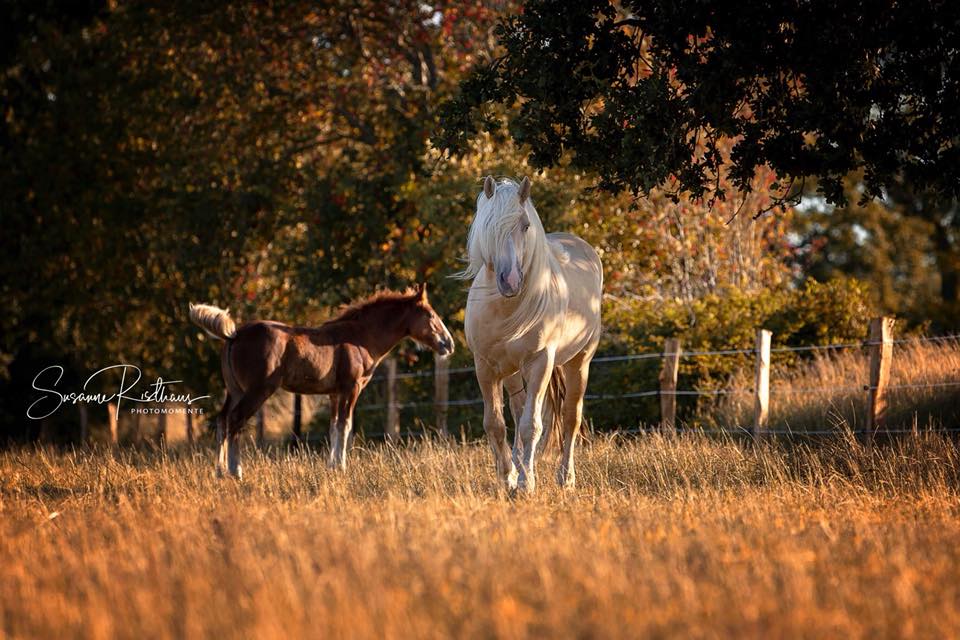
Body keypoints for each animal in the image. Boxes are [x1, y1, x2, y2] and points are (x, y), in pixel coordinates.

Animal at [193, 282, 456, 478]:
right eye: (431, 315)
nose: (449, 344)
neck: (361, 338)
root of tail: (234, 335)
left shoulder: (334, 393)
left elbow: (333, 426)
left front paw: (332, 466)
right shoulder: (352, 388)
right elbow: (345, 425)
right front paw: (341, 467)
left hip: (234, 390)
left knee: (222, 420)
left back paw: (219, 472)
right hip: (258, 390)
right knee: (236, 419)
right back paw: (235, 471)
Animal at [458, 178, 600, 492]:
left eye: (525, 226)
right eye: (489, 224)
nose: (510, 281)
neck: (504, 308)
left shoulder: (540, 363)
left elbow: (531, 425)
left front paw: (526, 482)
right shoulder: (485, 366)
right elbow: (496, 423)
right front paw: (507, 477)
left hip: (579, 362)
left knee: (570, 417)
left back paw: (565, 478)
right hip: (512, 371)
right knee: (518, 408)